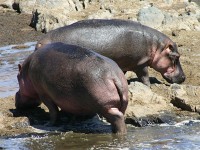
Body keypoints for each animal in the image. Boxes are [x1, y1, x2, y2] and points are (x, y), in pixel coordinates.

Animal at [36, 19, 186, 86]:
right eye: (176, 56)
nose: (184, 77)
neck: (157, 46)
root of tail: (40, 41)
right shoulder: (141, 63)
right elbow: (144, 76)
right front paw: (148, 87)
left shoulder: (124, 63)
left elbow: (123, 73)